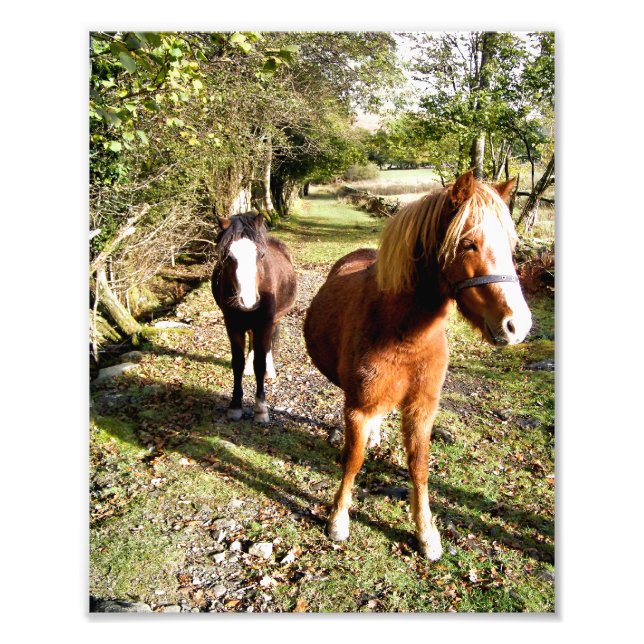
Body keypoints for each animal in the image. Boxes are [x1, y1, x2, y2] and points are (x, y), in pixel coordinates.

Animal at [211, 212, 297, 423]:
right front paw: (235, 405)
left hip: (273, 321)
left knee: (269, 344)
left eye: (261, 255)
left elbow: (260, 362)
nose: (248, 301)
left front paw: (261, 409)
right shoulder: (232, 325)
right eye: (228, 257)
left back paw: (270, 370)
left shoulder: (264, 324)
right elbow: (237, 363)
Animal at [303, 171, 532, 560]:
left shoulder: (423, 409)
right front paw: (338, 519)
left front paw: (426, 533)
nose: (518, 326)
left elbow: (420, 466)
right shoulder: (358, 408)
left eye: (511, 245)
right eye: (468, 244)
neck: (403, 334)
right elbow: (353, 460)